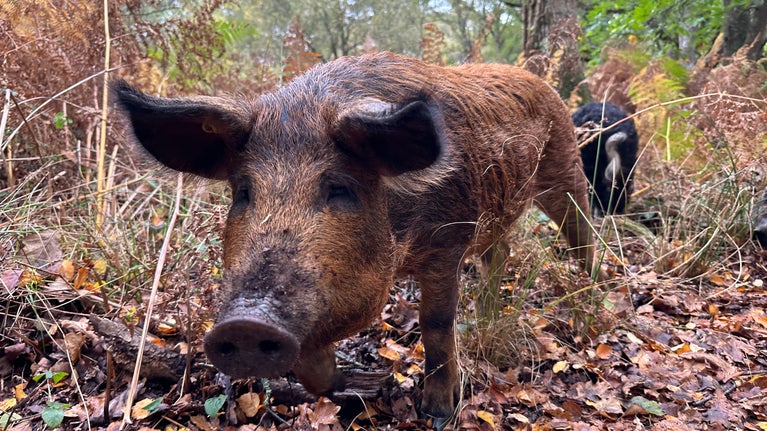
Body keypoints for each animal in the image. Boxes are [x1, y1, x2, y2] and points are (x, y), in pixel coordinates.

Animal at [113, 51, 596, 420]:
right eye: (243, 191)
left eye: (339, 188)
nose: (247, 323)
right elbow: (311, 363)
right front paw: (368, 384)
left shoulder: (447, 241)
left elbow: (436, 324)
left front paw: (439, 413)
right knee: (501, 253)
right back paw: (487, 317)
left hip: (565, 171)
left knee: (583, 235)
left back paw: (586, 305)